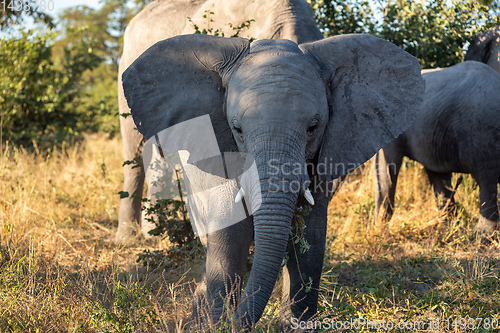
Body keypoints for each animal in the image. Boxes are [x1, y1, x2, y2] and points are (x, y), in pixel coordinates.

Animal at [123, 33, 424, 326]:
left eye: (313, 127)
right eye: (237, 129)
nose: (235, 323)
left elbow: (310, 236)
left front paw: (296, 324)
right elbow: (231, 234)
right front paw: (216, 325)